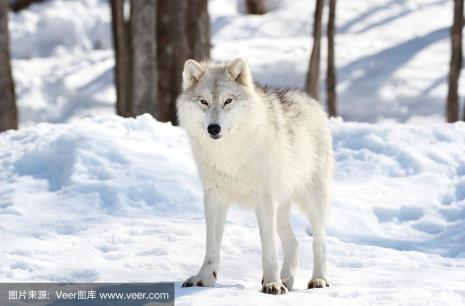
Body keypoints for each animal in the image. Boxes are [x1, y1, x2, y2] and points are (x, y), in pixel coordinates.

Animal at [176, 56, 332, 294]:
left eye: (228, 101)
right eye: (203, 102)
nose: (214, 129)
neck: (229, 154)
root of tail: (311, 100)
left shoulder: (264, 200)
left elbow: (268, 248)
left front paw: (271, 283)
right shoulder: (214, 197)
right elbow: (211, 246)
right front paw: (204, 279)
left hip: (313, 202)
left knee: (319, 242)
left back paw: (318, 280)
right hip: (281, 209)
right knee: (293, 243)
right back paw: (287, 280)